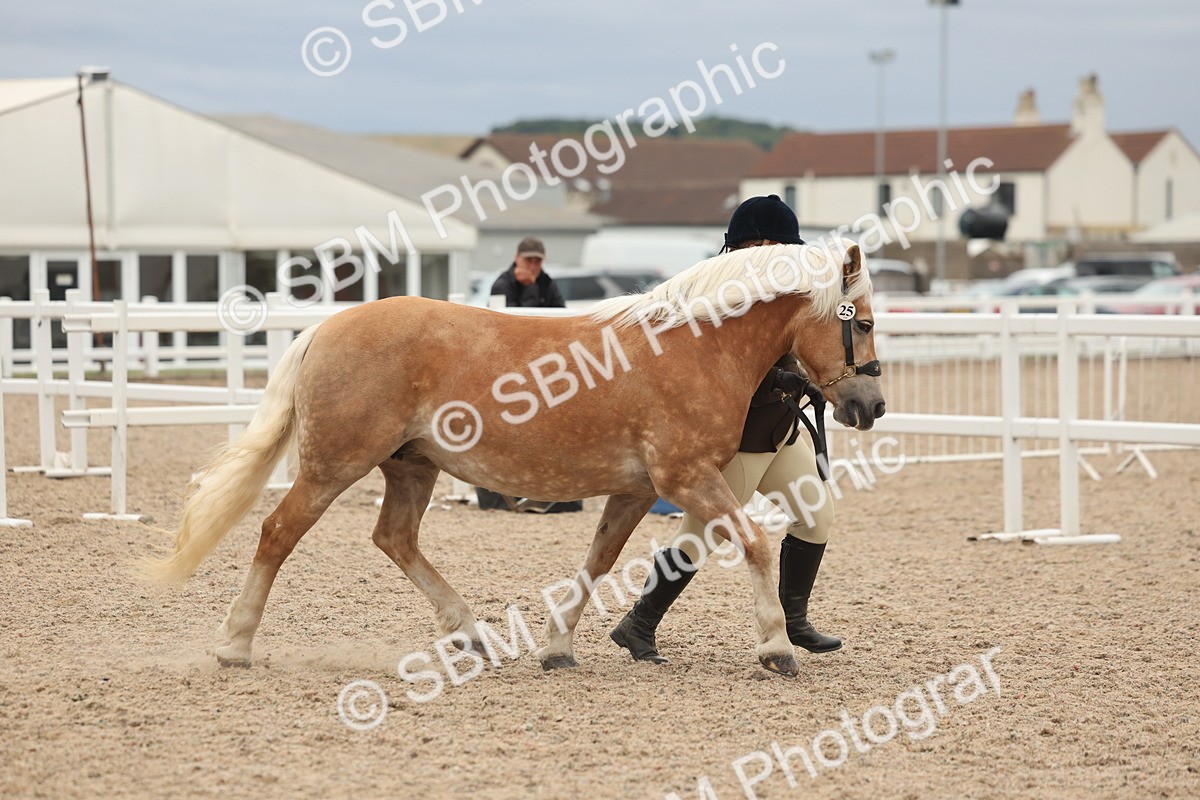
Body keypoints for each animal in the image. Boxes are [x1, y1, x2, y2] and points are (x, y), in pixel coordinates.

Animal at [143, 241, 884, 677]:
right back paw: (234, 645)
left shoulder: (638, 490)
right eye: (867, 322)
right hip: (334, 465)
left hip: (411, 465)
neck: (694, 345)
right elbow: (755, 544)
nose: (871, 405)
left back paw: (469, 633)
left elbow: (599, 562)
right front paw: (776, 647)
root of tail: (325, 328)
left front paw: (559, 647)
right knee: (277, 534)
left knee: (394, 537)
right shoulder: (686, 478)